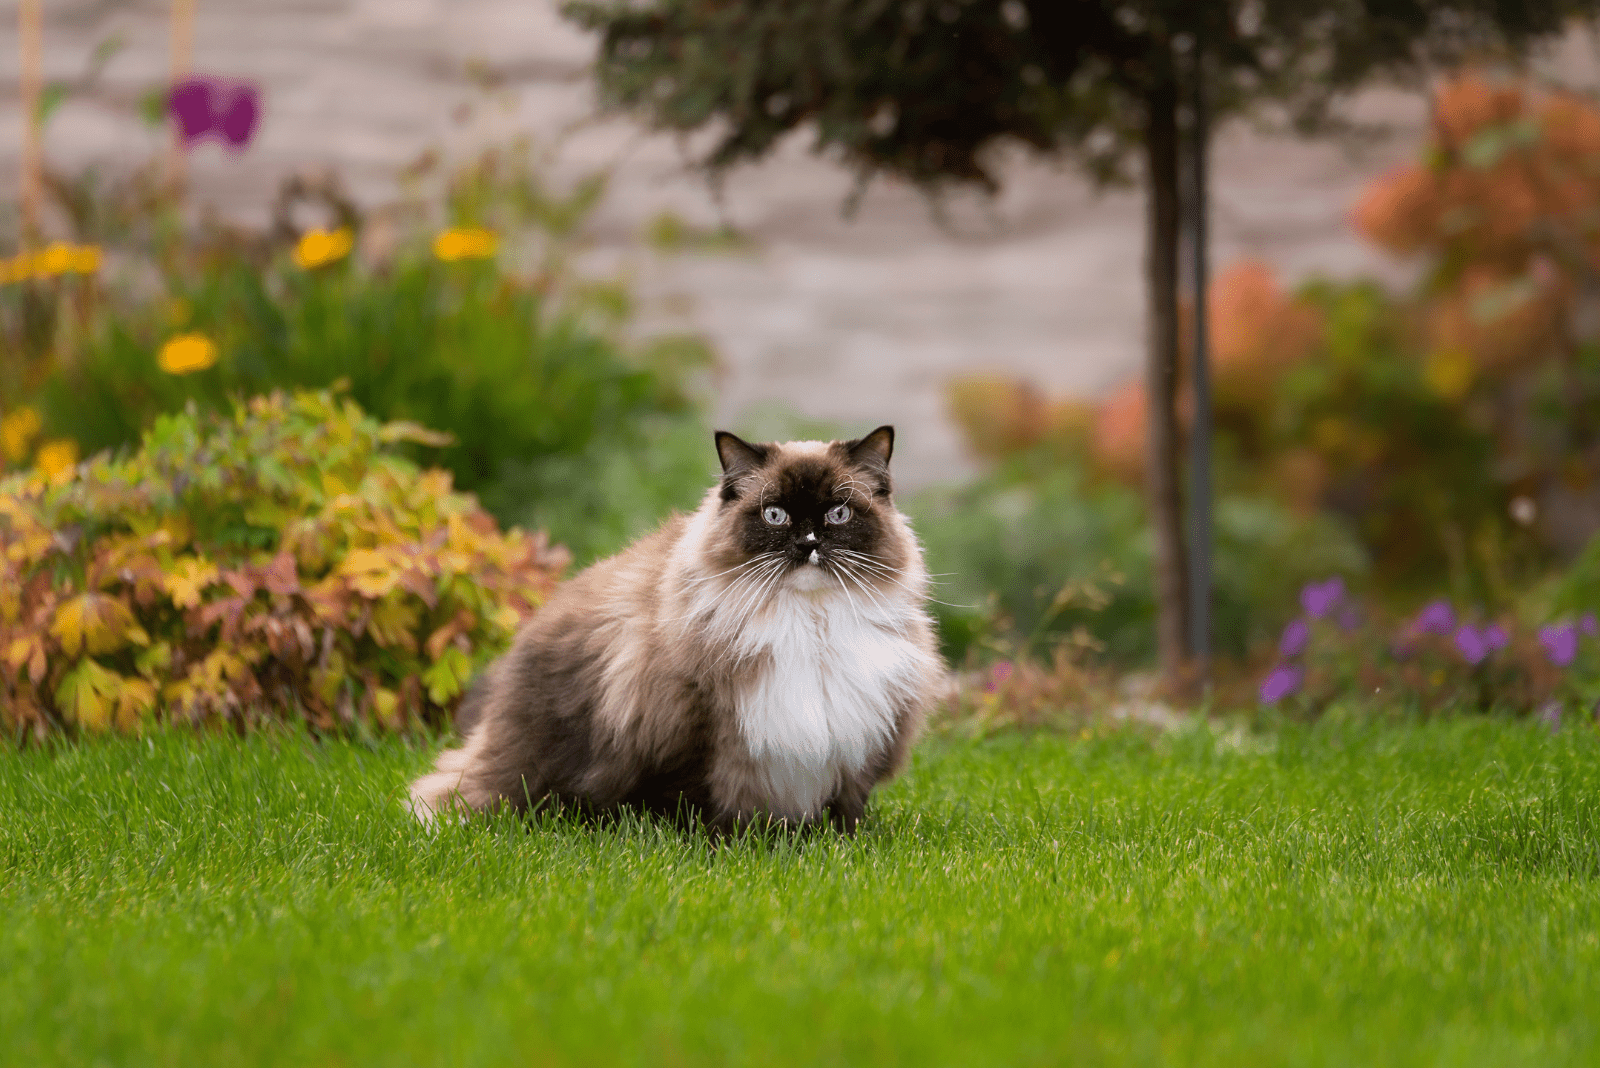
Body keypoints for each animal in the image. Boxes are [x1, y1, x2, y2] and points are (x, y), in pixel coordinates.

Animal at [406, 425, 940, 831]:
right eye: (775, 515)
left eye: (838, 513)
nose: (808, 543)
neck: (809, 625)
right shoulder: (698, 734)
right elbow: (701, 806)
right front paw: (727, 845)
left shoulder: (857, 748)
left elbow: (845, 814)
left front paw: (838, 843)